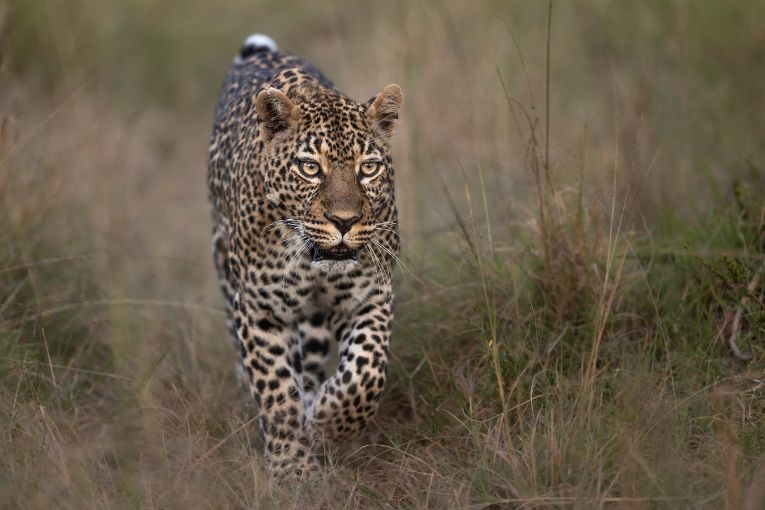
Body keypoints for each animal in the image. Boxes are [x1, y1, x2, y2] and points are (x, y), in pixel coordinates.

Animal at [206, 33, 402, 480]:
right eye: (311, 168)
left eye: (368, 168)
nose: (344, 221)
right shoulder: (258, 309)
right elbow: (276, 392)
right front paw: (292, 468)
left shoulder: (370, 295)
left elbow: (366, 372)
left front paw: (326, 420)